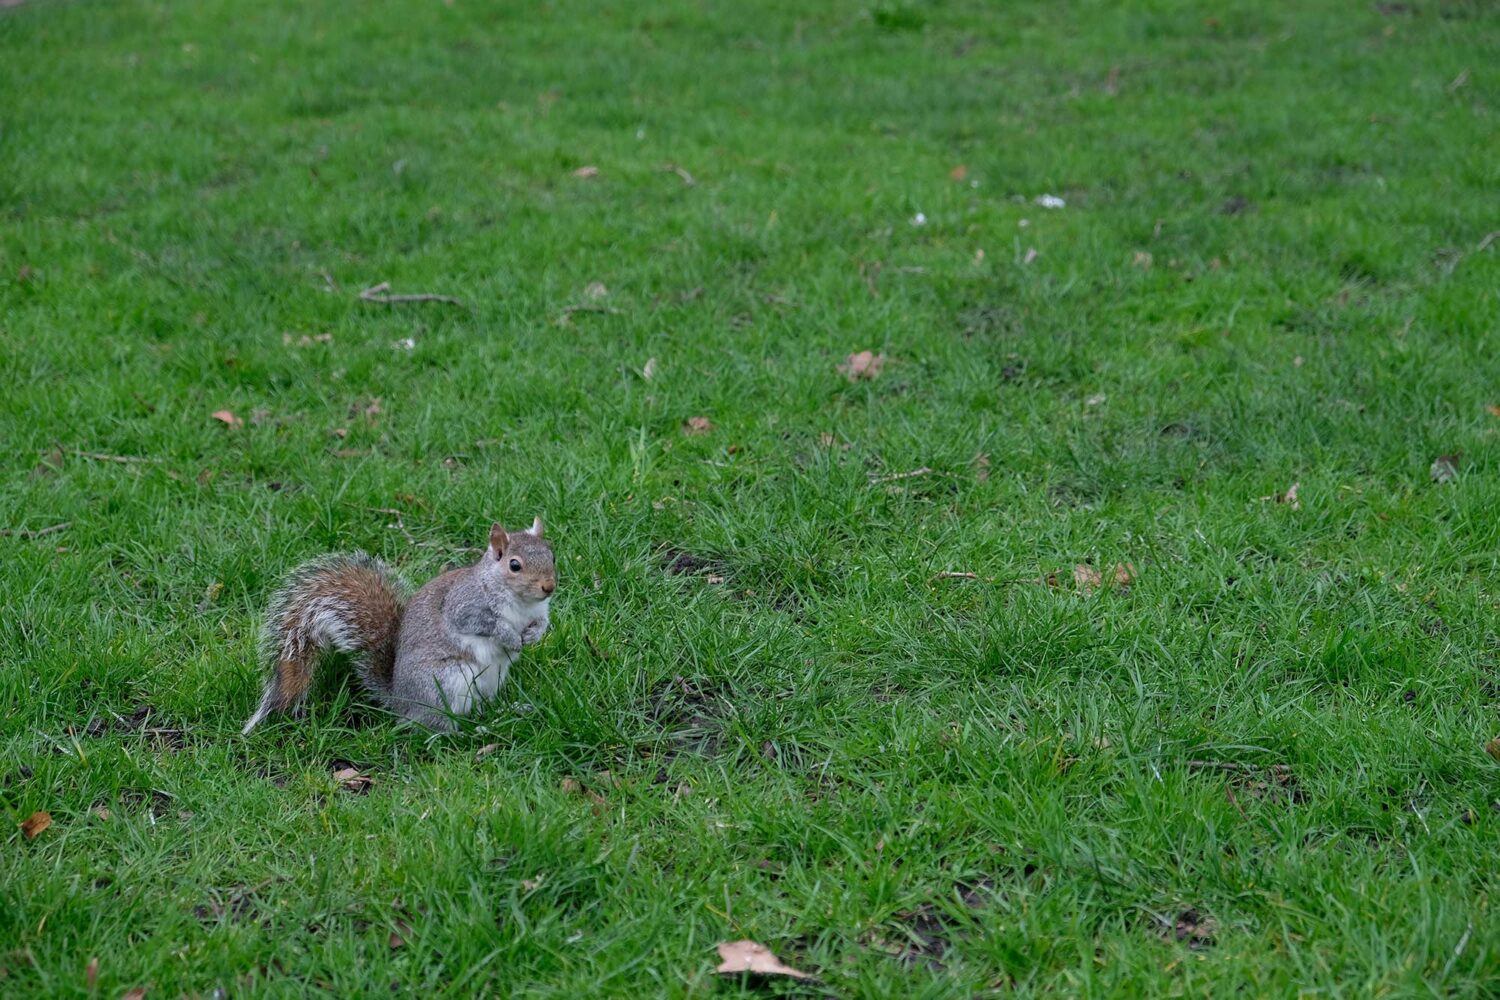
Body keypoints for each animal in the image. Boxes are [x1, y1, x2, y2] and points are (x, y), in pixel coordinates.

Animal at [241, 521, 558, 731]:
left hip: (490, 682)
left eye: (552, 555)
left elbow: (543, 622)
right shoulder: (464, 605)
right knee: (436, 724)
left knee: (481, 706)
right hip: (445, 682)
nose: (549, 587)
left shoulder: (540, 610)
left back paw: (507, 710)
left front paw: (533, 635)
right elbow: (482, 623)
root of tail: (401, 701)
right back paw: (469, 732)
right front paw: (510, 637)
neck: (521, 603)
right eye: (514, 565)